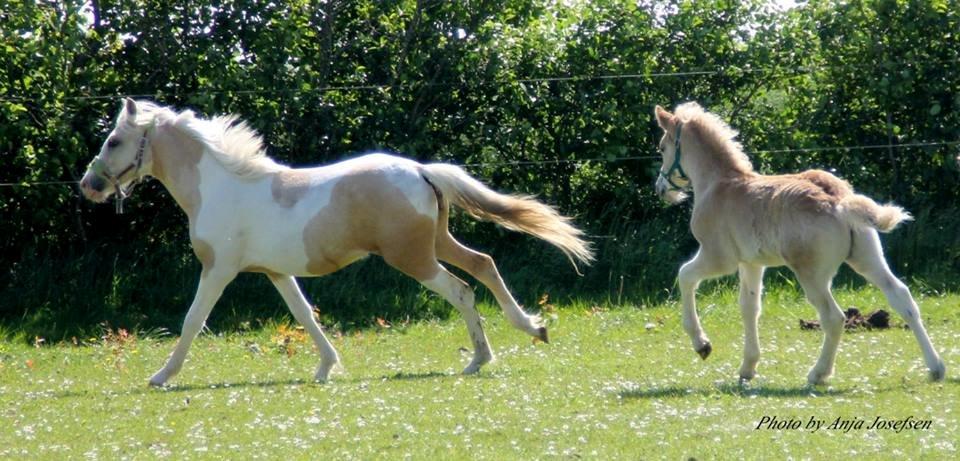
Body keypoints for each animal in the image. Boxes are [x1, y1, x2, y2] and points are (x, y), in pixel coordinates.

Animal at [80, 99, 592, 384]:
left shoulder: (219, 268)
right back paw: (532, 329)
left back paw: (479, 359)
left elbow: (191, 321)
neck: (222, 186)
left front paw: (161, 376)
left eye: (113, 141)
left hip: (413, 257)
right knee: (484, 263)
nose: (89, 185)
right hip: (436, 243)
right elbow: (305, 315)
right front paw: (327, 368)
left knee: (461, 289)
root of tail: (421, 170)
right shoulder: (275, 272)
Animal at [652, 103, 944, 384]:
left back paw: (818, 374)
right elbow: (749, 307)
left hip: (811, 274)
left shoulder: (719, 258)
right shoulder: (752, 263)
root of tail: (839, 200)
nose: (660, 188)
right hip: (867, 258)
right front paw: (748, 367)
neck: (718, 184)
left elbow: (685, 276)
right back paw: (936, 368)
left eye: (662, 147)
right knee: (902, 297)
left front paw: (702, 345)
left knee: (833, 318)